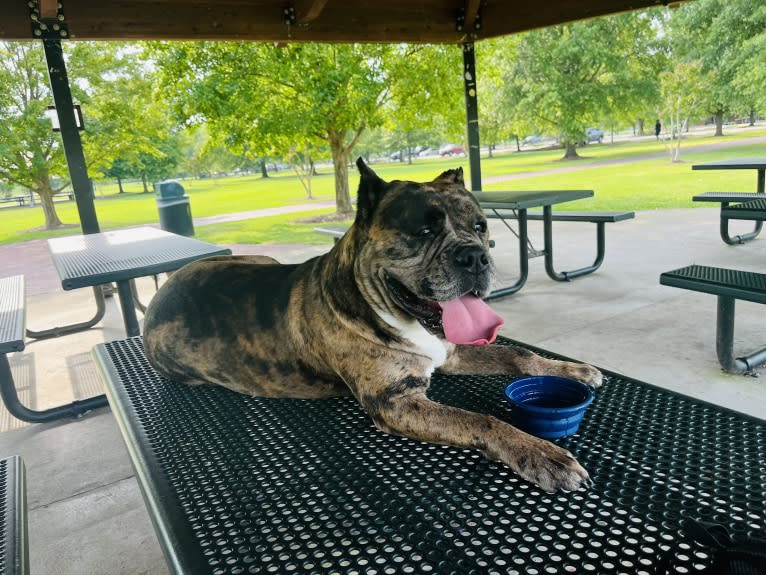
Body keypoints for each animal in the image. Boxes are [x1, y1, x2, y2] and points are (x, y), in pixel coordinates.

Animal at [141, 159, 604, 496]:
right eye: (423, 230)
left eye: (481, 226)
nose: (475, 256)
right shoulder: (396, 401)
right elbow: (482, 420)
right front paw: (541, 454)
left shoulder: (451, 354)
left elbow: (517, 352)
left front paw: (570, 369)